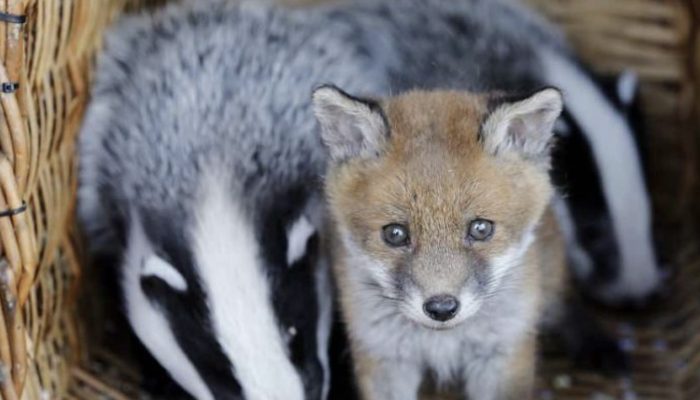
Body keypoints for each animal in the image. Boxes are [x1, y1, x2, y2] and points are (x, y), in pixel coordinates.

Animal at [313, 85, 568, 400]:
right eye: (395, 234)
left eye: (480, 229)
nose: (442, 309)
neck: (443, 341)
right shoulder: (384, 356)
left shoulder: (502, 352)